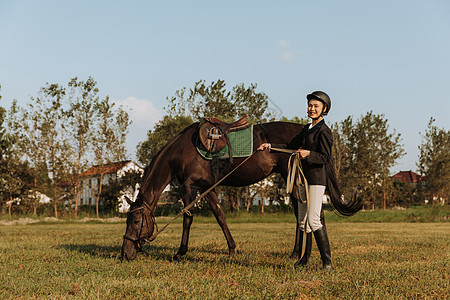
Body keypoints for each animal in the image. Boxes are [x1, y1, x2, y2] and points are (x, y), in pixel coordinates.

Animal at [121, 121, 360, 260]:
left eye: (135, 221)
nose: (125, 253)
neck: (182, 151)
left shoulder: (189, 187)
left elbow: (187, 218)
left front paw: (180, 252)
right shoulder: (207, 188)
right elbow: (220, 216)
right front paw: (232, 249)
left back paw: (301, 254)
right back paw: (297, 253)